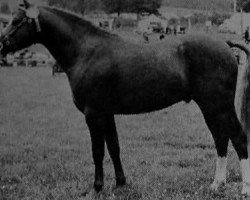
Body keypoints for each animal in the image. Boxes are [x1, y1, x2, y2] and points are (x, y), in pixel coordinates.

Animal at [0, 0, 250, 196]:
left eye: (17, 20)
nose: (2, 44)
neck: (86, 51)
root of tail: (225, 44)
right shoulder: (106, 114)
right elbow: (114, 147)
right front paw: (120, 183)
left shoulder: (93, 114)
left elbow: (98, 151)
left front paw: (97, 187)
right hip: (210, 108)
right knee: (220, 139)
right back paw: (217, 184)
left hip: (220, 106)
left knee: (238, 138)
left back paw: (244, 188)